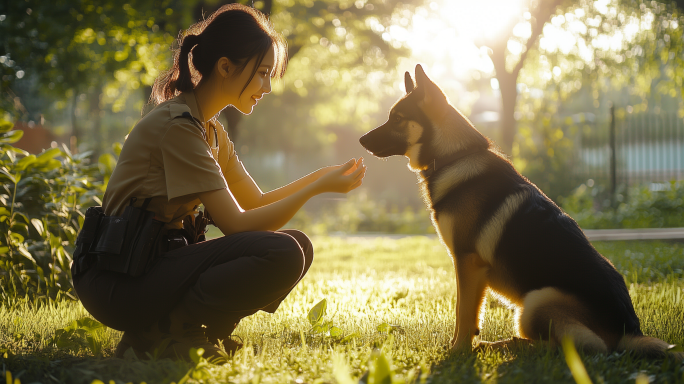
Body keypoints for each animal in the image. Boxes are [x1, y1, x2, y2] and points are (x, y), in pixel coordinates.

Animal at [358, 64, 680, 358]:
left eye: (397, 119)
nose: (360, 140)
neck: (454, 156)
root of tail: (630, 331)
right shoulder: (467, 268)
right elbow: (467, 312)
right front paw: (462, 345)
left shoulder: (467, 262)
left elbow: (464, 313)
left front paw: (458, 351)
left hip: (537, 301)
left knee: (577, 348)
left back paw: (504, 344)